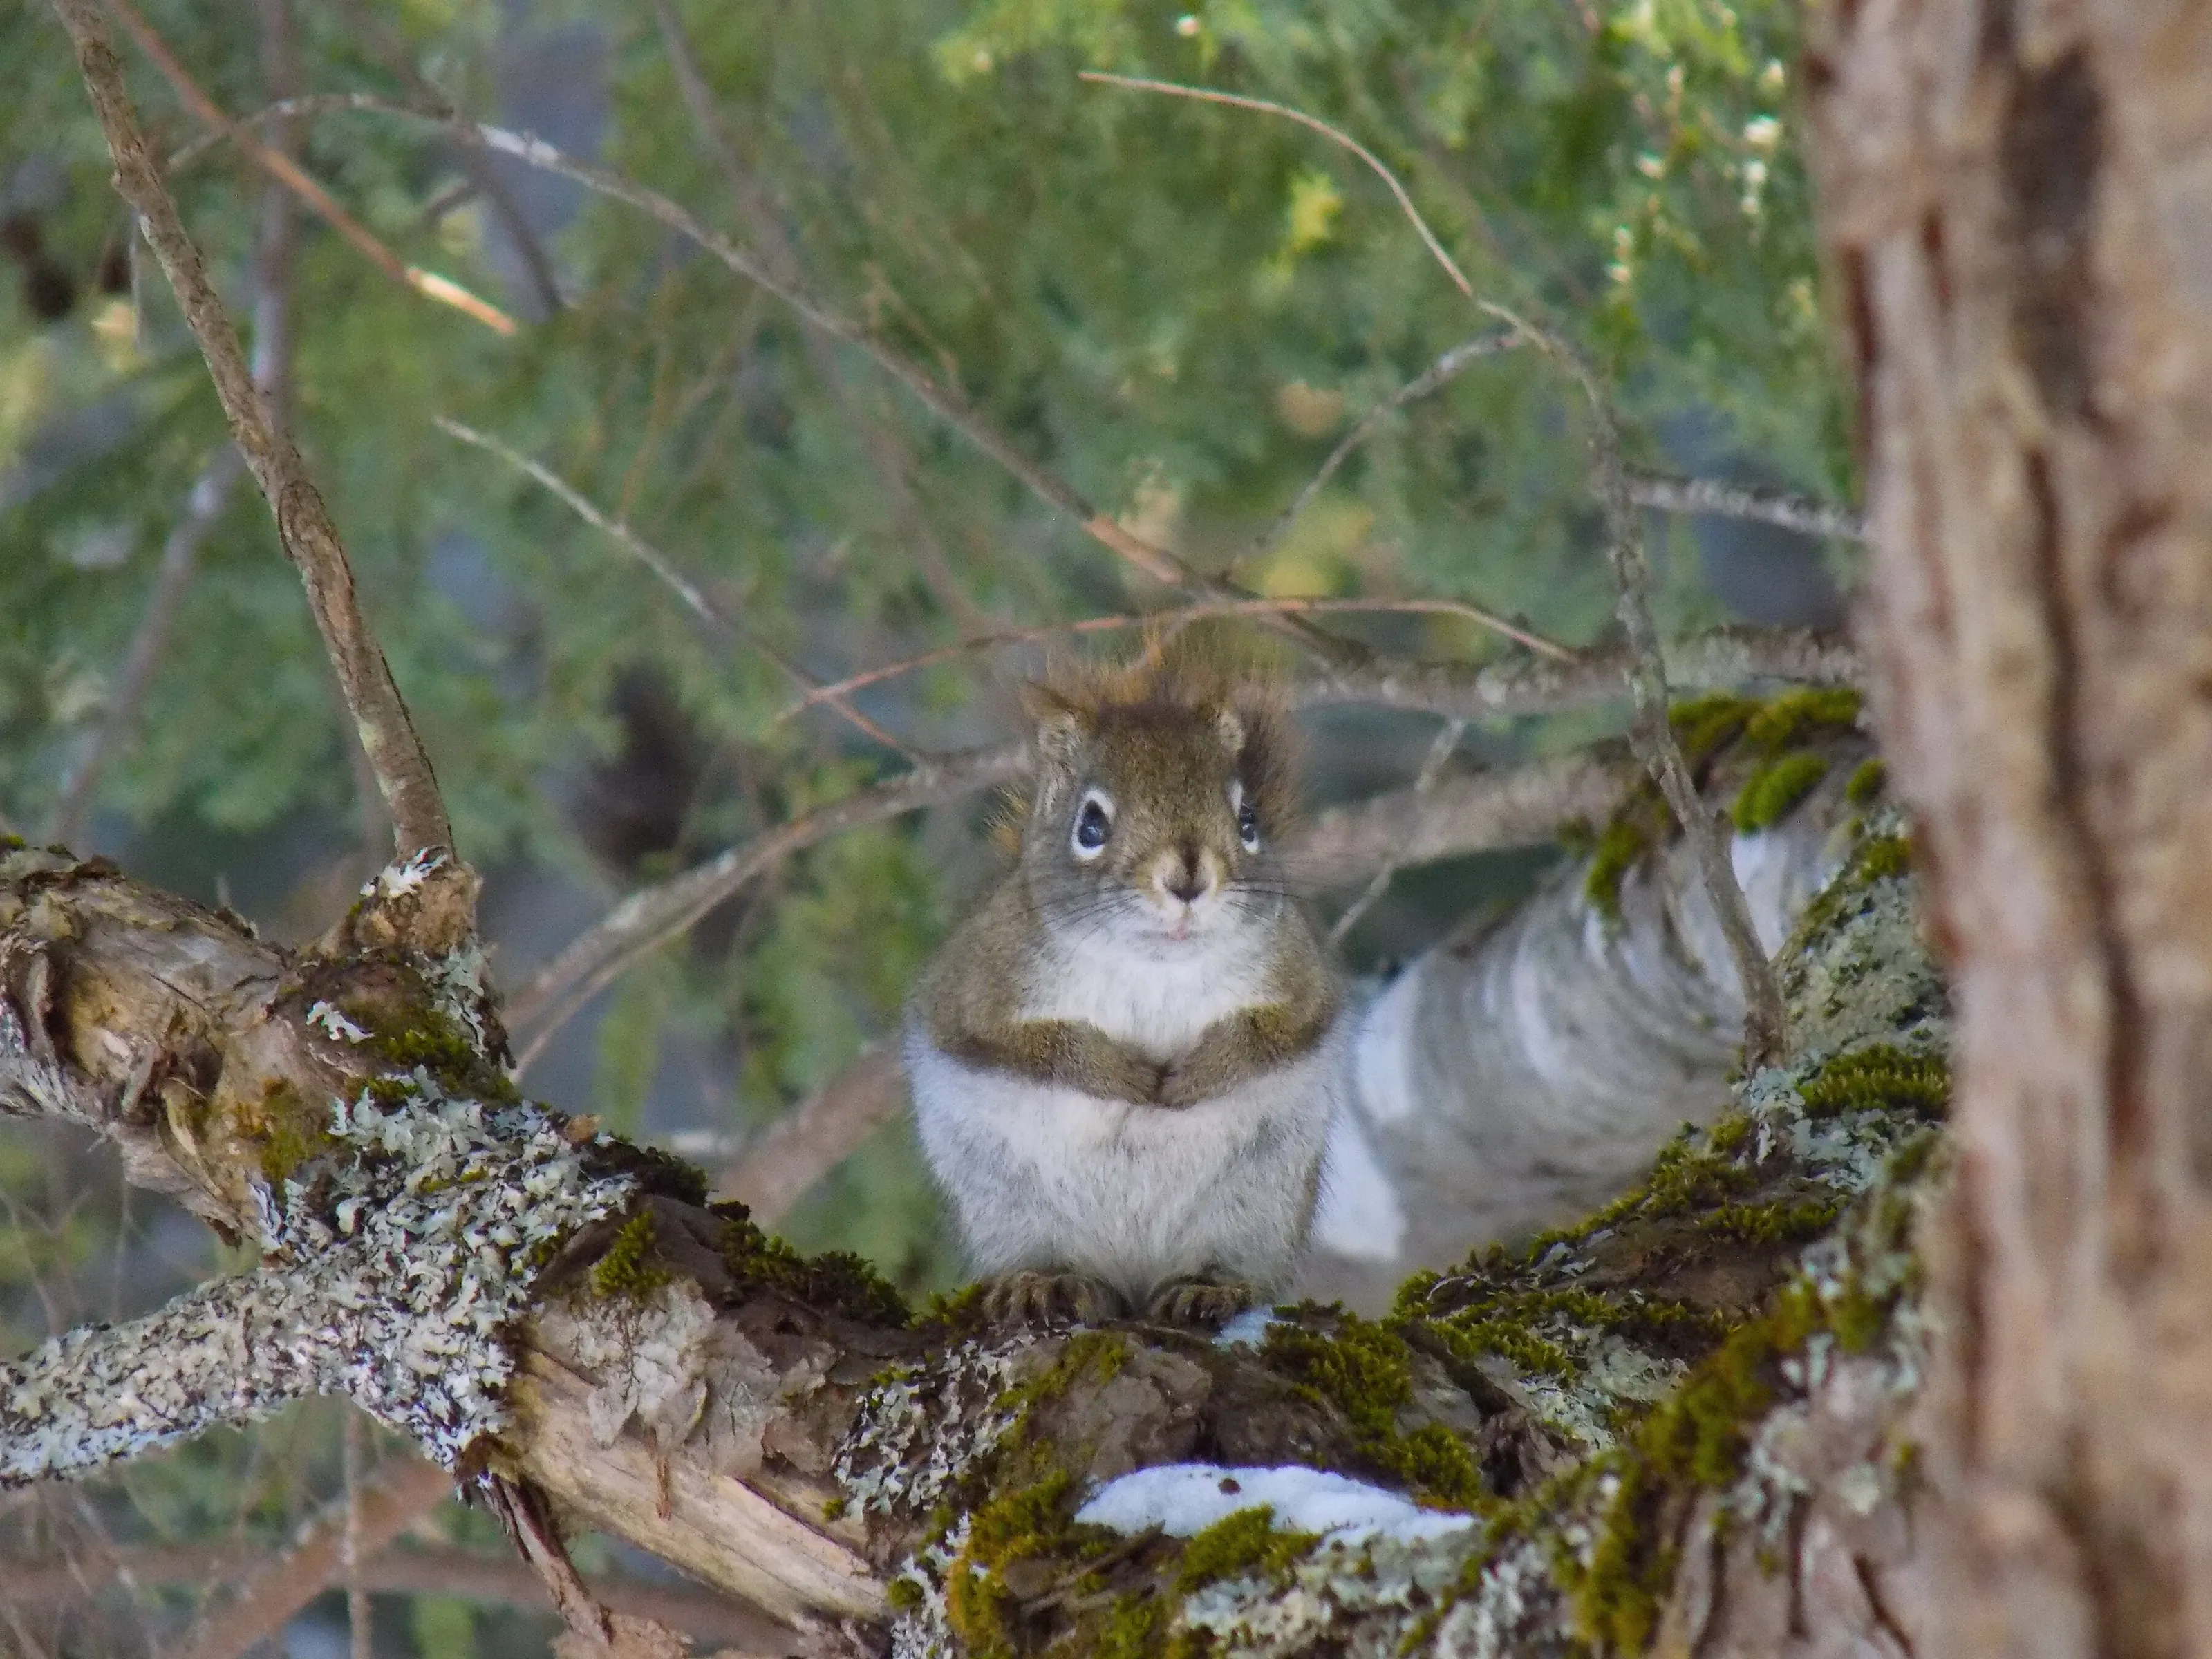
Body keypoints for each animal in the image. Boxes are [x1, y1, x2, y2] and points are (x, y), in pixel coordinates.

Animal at [904, 650, 1345, 1326]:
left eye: (1247, 820)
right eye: (1090, 825)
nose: (1188, 879)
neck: (1153, 965)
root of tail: (1132, 1282)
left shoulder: (1299, 977)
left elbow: (1275, 1035)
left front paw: (1200, 1072)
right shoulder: (977, 987)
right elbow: (1028, 1048)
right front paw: (1120, 1074)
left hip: (1257, 1205)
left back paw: (1208, 1288)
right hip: (1009, 1208)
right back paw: (1049, 1282)